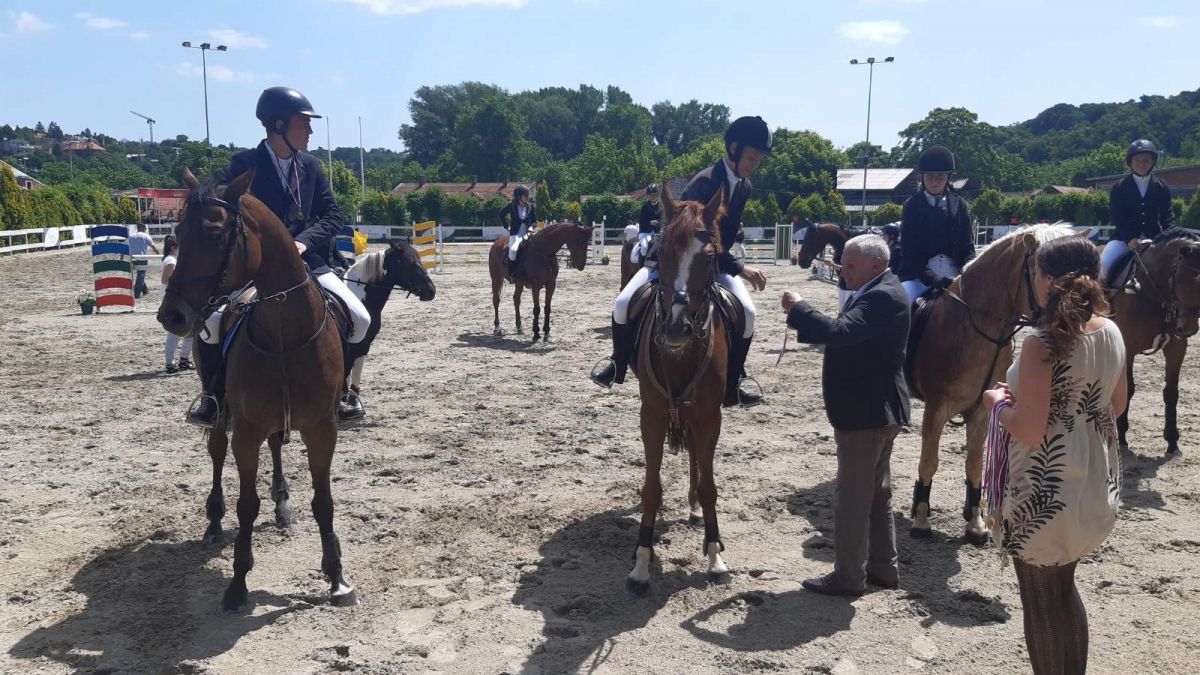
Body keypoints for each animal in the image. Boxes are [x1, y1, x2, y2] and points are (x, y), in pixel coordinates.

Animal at [153, 169, 355, 610]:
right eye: (177, 231)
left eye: (214, 232)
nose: (171, 316)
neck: (284, 334)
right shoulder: (245, 431)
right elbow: (246, 505)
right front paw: (237, 583)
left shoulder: (322, 429)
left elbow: (324, 501)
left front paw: (337, 577)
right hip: (220, 411)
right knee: (216, 452)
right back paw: (214, 522)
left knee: (276, 445)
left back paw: (282, 503)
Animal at [340, 239, 439, 413]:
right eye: (410, 263)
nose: (431, 291)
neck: (358, 297)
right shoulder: (354, 344)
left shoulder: (363, 344)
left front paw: (351, 401)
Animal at [902, 223, 1084, 538]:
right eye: (1050, 273)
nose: (1078, 316)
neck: (974, 326)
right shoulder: (937, 407)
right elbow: (929, 461)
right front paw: (921, 519)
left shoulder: (981, 410)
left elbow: (975, 464)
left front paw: (975, 522)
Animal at [1104, 228, 1200, 454]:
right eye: (1179, 279)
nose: (1188, 329)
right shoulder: (1128, 347)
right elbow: (1129, 388)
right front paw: (1122, 435)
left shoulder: (1176, 347)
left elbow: (1171, 392)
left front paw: (1172, 440)